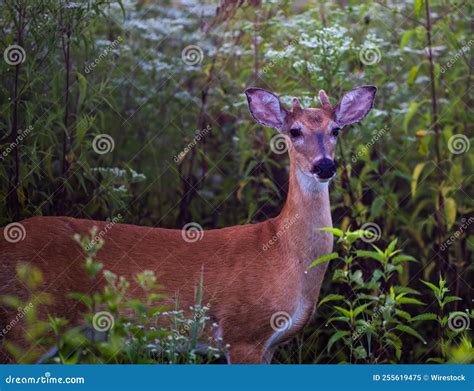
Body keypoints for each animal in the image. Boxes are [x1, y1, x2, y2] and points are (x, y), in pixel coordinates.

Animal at [0, 86, 378, 364]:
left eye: (336, 130)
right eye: (295, 131)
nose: (325, 165)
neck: (287, 253)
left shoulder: (268, 346)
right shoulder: (242, 333)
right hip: (26, 323)